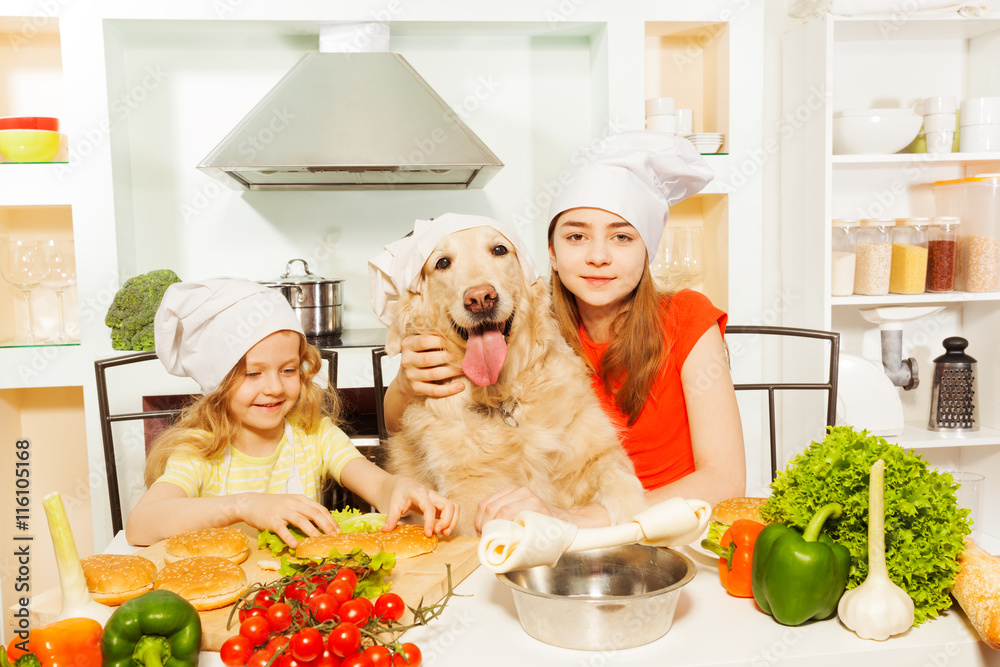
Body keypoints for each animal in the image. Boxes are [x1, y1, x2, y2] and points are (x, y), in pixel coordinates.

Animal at [382, 227, 648, 536]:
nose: (480, 298)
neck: (504, 399)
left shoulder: (599, 453)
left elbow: (620, 481)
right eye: (442, 263)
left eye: (499, 250)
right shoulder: (470, 495)